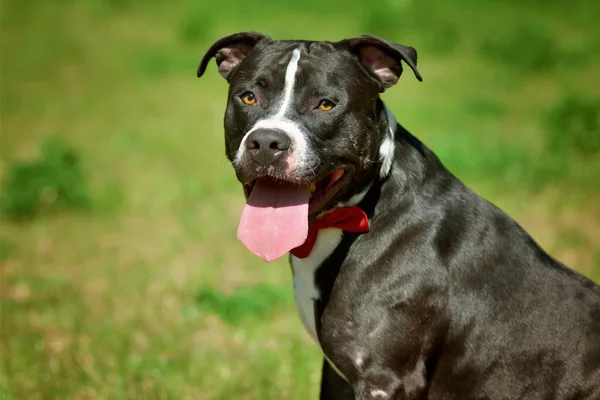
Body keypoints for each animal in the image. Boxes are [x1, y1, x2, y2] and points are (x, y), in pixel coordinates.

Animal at [198, 32, 600, 400]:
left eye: (325, 105)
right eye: (248, 97)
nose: (267, 142)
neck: (362, 209)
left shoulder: (385, 378)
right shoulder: (339, 376)